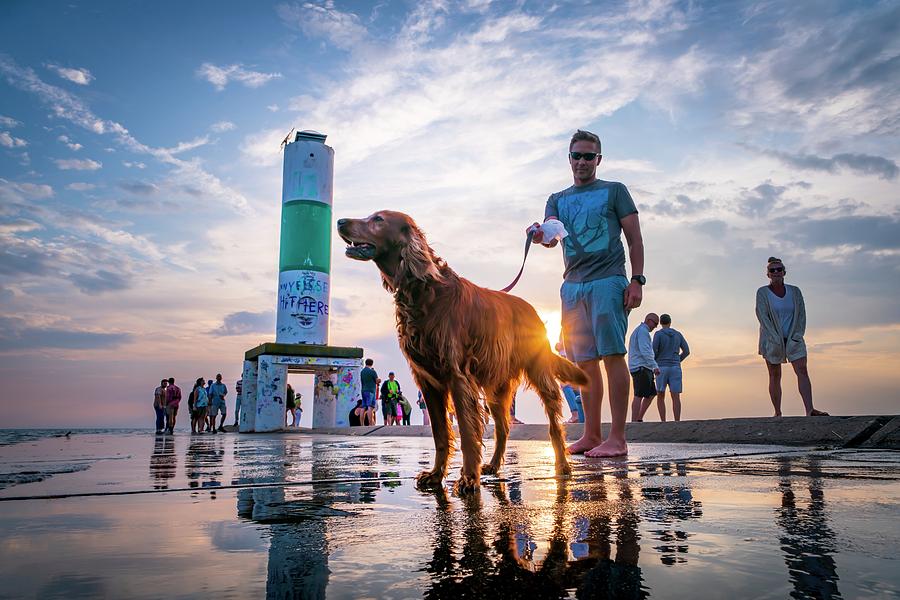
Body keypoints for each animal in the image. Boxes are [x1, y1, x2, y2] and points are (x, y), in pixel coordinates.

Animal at [340, 211, 592, 492]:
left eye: (378, 219)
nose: (340, 222)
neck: (424, 292)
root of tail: (532, 310)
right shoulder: (428, 382)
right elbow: (440, 434)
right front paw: (436, 474)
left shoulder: (458, 377)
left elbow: (468, 433)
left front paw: (469, 477)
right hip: (496, 389)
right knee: (503, 428)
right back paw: (493, 465)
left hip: (539, 374)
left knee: (553, 424)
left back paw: (563, 465)